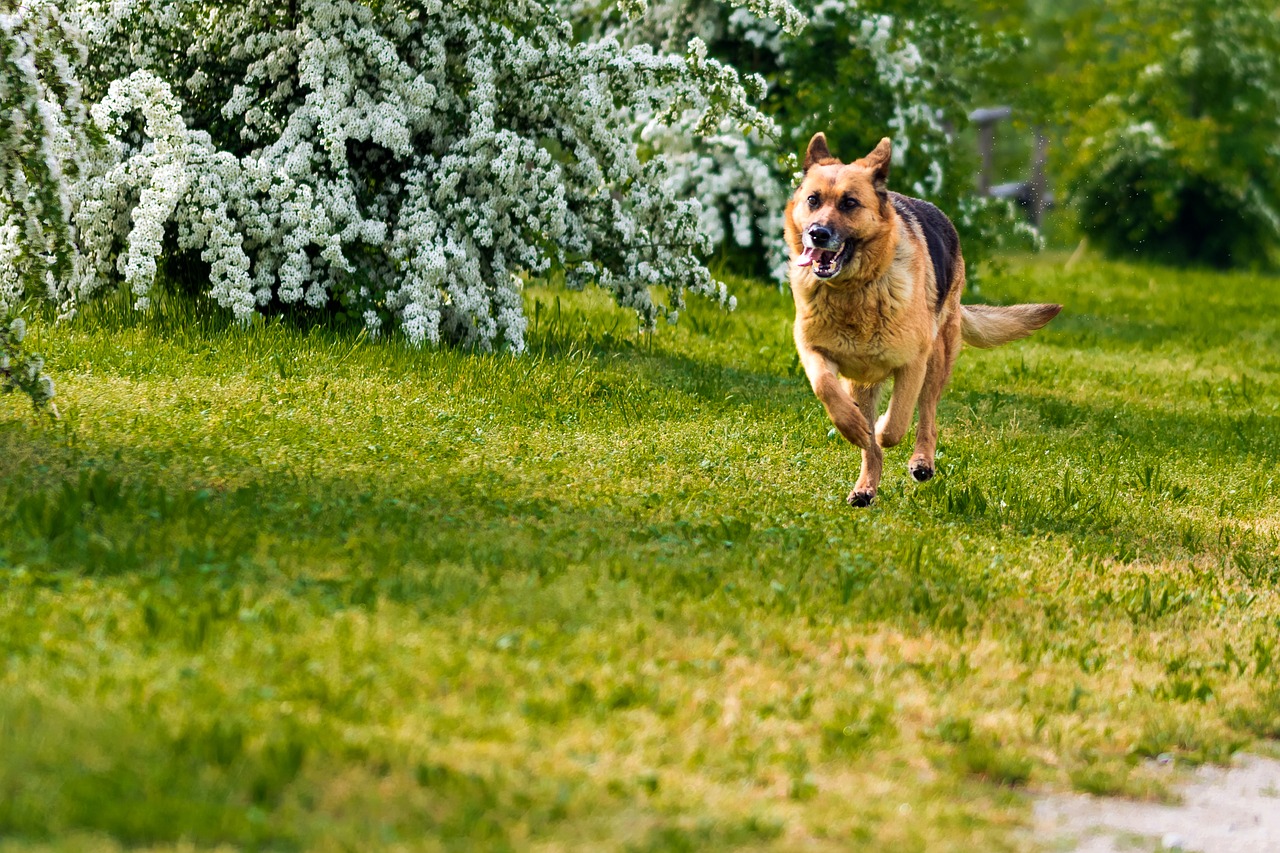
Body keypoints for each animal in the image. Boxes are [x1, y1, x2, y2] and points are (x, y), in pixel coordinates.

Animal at [783, 133, 1064, 504]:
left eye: (849, 203)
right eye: (813, 200)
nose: (817, 233)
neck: (854, 291)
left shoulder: (912, 363)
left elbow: (896, 422)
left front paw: (882, 427)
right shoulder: (814, 350)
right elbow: (825, 387)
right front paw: (854, 426)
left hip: (938, 358)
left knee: (927, 415)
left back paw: (921, 461)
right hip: (864, 381)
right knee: (872, 442)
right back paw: (866, 486)